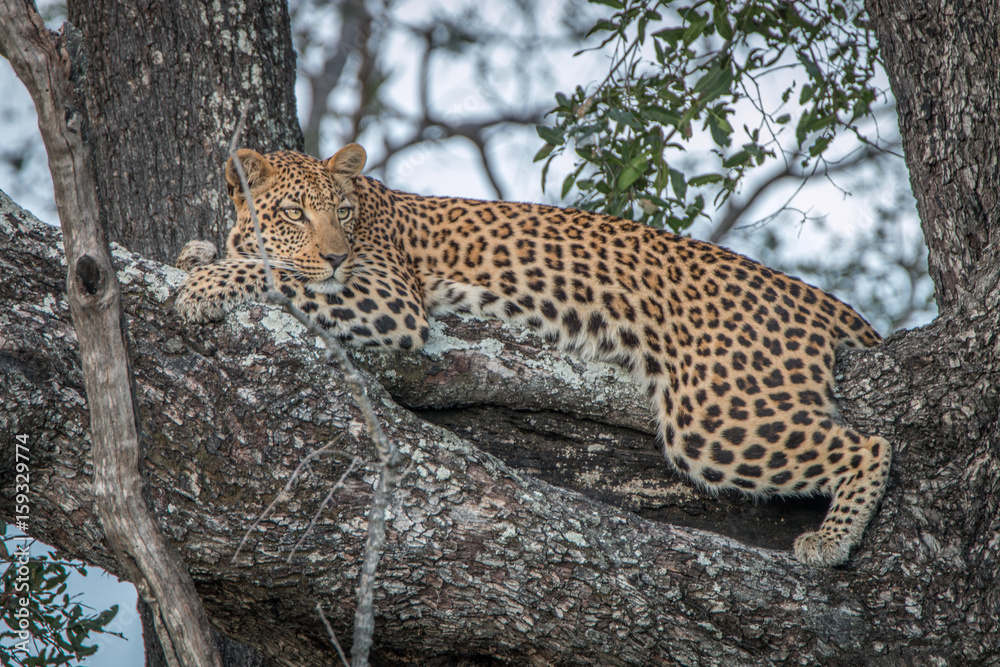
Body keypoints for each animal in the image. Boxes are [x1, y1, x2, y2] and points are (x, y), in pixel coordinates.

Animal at [178, 146, 892, 568]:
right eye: (295, 212)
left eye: (343, 211)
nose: (333, 254)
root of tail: (810, 295)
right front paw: (197, 254)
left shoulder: (387, 296)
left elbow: (280, 275)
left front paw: (204, 285)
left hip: (718, 415)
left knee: (871, 443)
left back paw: (831, 540)